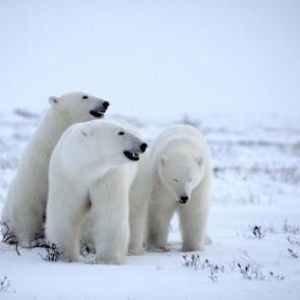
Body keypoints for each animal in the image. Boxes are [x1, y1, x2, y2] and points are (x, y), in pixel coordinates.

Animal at [45, 119, 147, 264]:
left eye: (124, 130)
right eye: (121, 132)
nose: (143, 145)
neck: (87, 169)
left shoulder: (107, 177)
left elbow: (109, 213)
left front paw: (107, 259)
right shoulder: (68, 175)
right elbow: (65, 212)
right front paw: (65, 255)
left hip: (139, 176)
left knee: (136, 209)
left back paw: (133, 249)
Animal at [147, 125, 212, 253]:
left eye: (190, 179)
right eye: (175, 179)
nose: (184, 197)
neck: (182, 145)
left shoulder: (199, 186)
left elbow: (194, 210)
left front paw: (192, 248)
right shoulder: (161, 184)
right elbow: (159, 210)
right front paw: (157, 247)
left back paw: (207, 239)